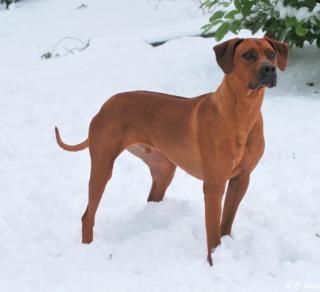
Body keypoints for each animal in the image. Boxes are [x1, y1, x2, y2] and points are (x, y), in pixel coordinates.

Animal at [56, 36, 288, 264]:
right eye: (248, 55)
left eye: (271, 54)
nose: (269, 69)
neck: (243, 113)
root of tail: (105, 105)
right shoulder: (214, 185)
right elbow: (212, 232)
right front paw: (214, 262)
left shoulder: (241, 179)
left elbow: (226, 222)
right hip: (103, 166)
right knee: (88, 215)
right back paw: (87, 250)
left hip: (164, 169)